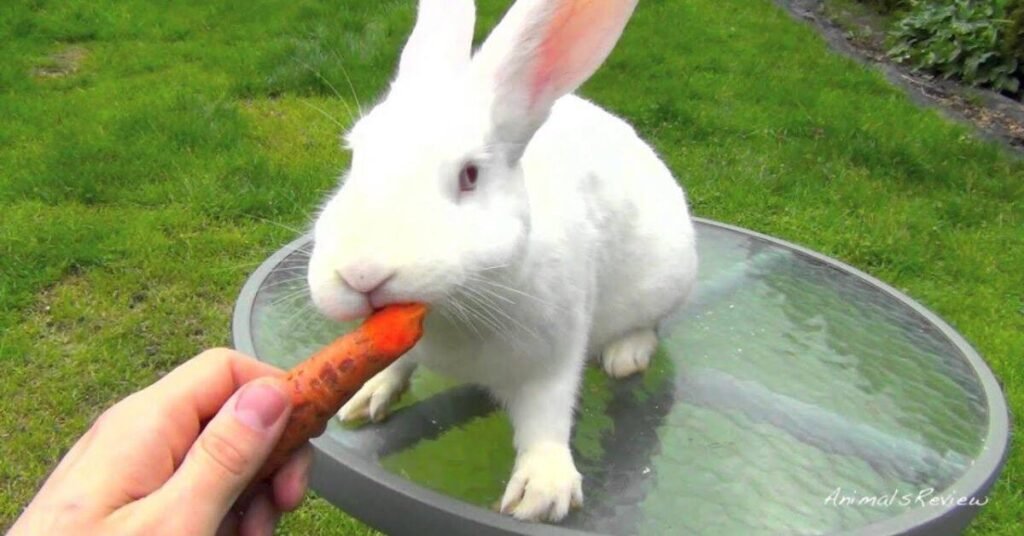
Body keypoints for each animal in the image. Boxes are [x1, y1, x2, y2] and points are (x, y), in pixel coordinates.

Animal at [306, 0, 697, 523]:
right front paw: (365, 395)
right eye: (354, 158)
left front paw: (541, 493)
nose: (360, 273)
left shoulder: (555, 354)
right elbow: (394, 363)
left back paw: (626, 356)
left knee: (648, 324)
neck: (455, 311)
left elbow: (547, 416)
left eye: (470, 175)